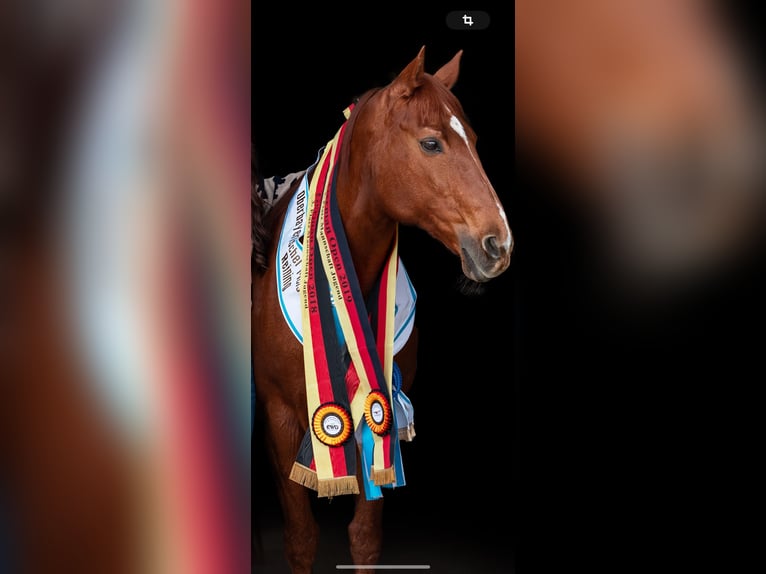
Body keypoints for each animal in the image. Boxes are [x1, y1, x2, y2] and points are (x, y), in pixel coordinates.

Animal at [252, 46, 513, 573]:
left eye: (475, 141)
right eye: (431, 143)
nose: (498, 244)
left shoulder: (380, 407)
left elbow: (365, 536)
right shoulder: (280, 419)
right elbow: (301, 538)